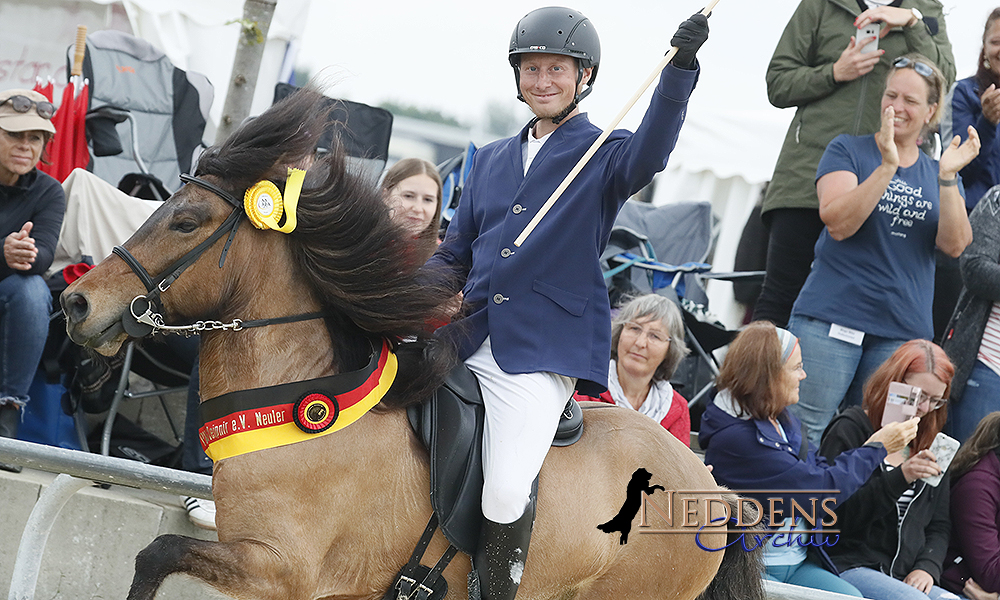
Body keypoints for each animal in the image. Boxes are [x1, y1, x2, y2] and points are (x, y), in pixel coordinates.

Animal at [62, 89, 760, 600]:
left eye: (185, 222)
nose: (76, 304)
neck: (307, 395)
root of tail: (714, 486)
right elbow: (157, 552)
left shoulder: (281, 568)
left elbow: (158, 551)